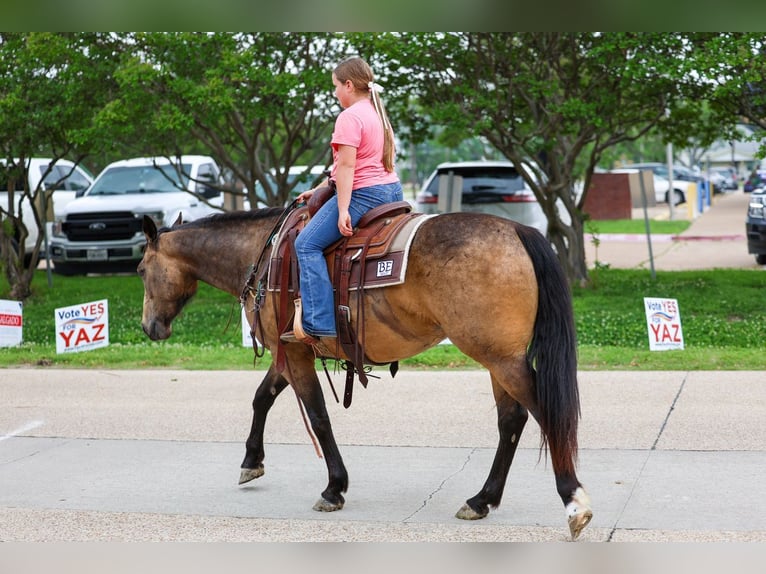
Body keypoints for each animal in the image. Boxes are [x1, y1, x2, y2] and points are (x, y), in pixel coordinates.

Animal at [138, 207, 593, 540]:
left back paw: (575, 501)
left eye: (141, 270)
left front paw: (334, 487)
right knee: (511, 421)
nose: (149, 327)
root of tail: (516, 229)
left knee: (546, 415)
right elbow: (262, 397)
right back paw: (482, 500)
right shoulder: (291, 350)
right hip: (500, 359)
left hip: (500, 358)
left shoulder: (294, 353)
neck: (262, 254)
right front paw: (252, 460)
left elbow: (317, 416)